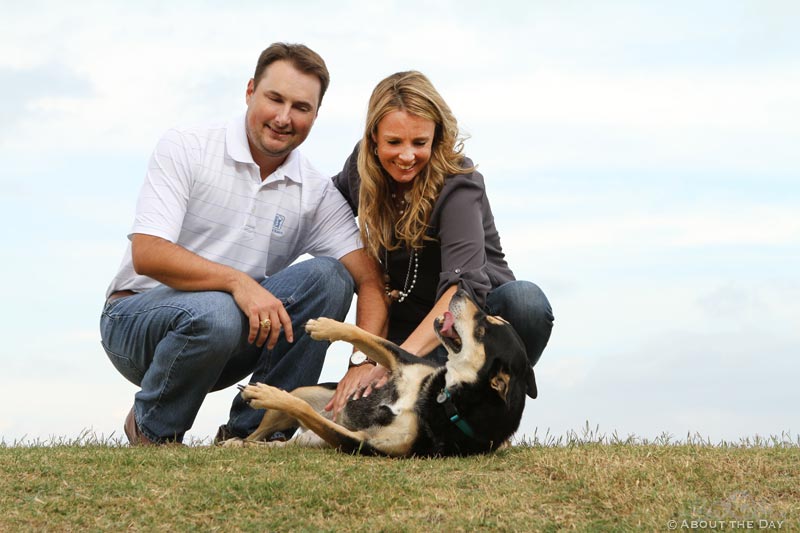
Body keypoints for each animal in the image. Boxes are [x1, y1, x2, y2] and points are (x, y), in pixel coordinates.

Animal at [234, 288, 536, 456]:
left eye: (482, 329)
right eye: (491, 319)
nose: (461, 291)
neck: (444, 396)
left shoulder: (360, 443)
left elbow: (304, 411)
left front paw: (266, 394)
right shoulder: (402, 363)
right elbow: (369, 337)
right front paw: (326, 326)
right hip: (302, 393)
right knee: (256, 436)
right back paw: (235, 442)